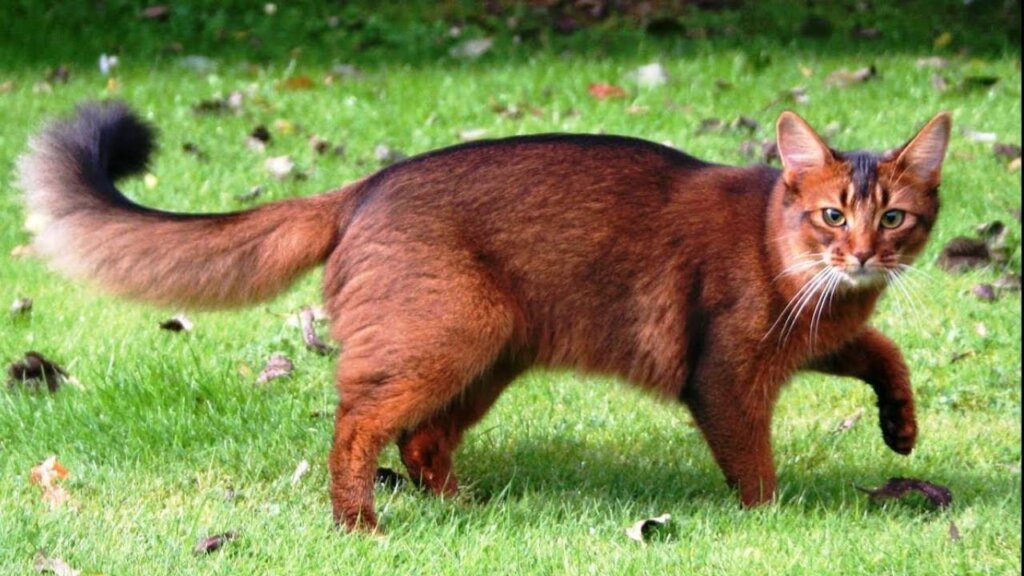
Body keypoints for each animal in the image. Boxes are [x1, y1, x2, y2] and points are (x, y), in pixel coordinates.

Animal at [18, 101, 950, 528]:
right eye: (831, 216)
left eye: (894, 218)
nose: (863, 254)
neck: (776, 242)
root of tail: (363, 186)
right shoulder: (726, 374)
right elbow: (753, 463)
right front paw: (769, 520)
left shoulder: (821, 332)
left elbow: (885, 348)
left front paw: (901, 429)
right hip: (445, 340)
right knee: (356, 425)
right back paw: (360, 525)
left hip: (489, 355)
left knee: (420, 440)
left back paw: (466, 509)